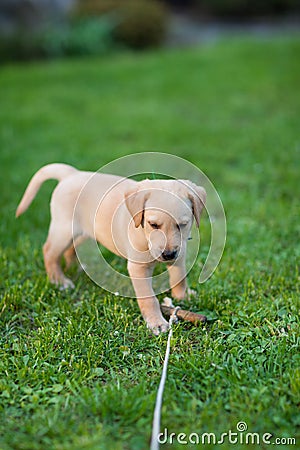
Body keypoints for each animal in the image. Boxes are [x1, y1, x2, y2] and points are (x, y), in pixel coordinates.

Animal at [15, 164, 205, 334]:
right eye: (153, 225)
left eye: (182, 225)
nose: (168, 254)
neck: (143, 234)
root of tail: (72, 174)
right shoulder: (138, 267)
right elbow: (149, 298)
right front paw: (156, 323)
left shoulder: (180, 253)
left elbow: (179, 277)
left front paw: (183, 295)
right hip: (63, 229)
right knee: (49, 252)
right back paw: (59, 281)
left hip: (84, 231)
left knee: (71, 249)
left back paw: (75, 268)